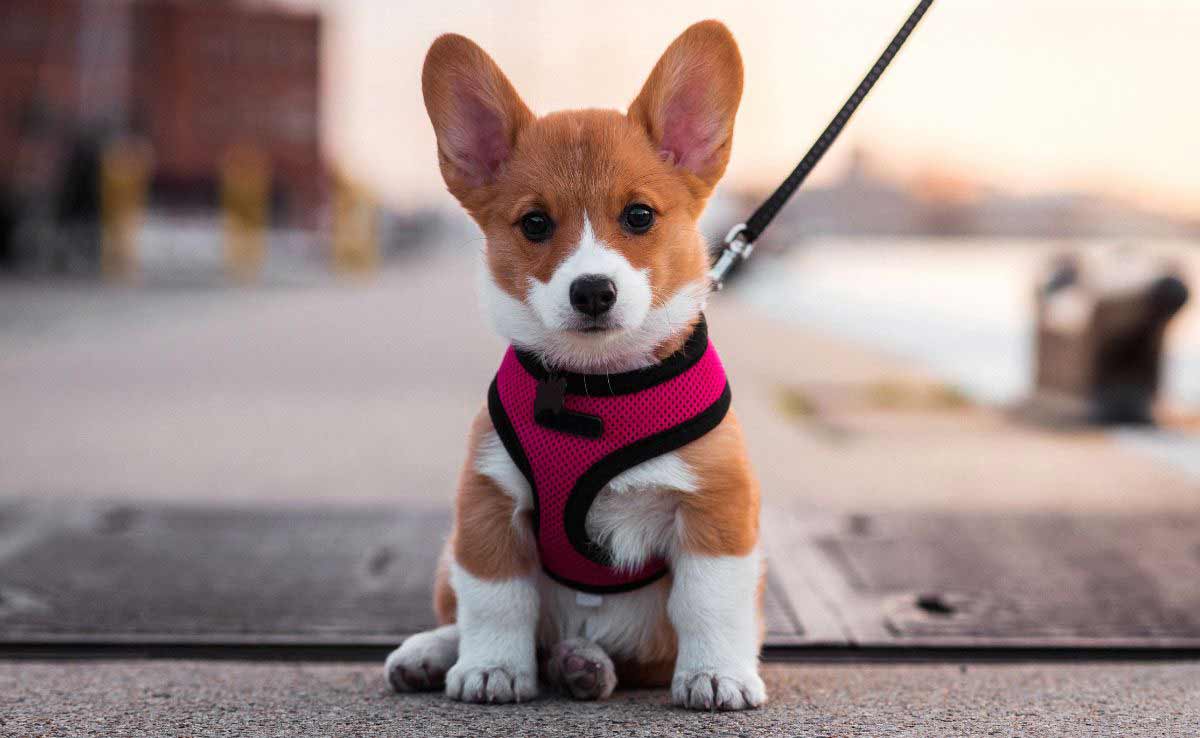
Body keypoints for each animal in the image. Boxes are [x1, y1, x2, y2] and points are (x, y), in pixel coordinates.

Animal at [384, 18, 763, 710]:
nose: (592, 291)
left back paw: (582, 663)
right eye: (535, 223)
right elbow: (497, 600)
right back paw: (438, 653)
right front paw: (492, 668)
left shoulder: (716, 507)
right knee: (470, 616)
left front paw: (717, 674)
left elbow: (710, 603)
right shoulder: (487, 503)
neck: (597, 384)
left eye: (639, 215)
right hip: (449, 555)